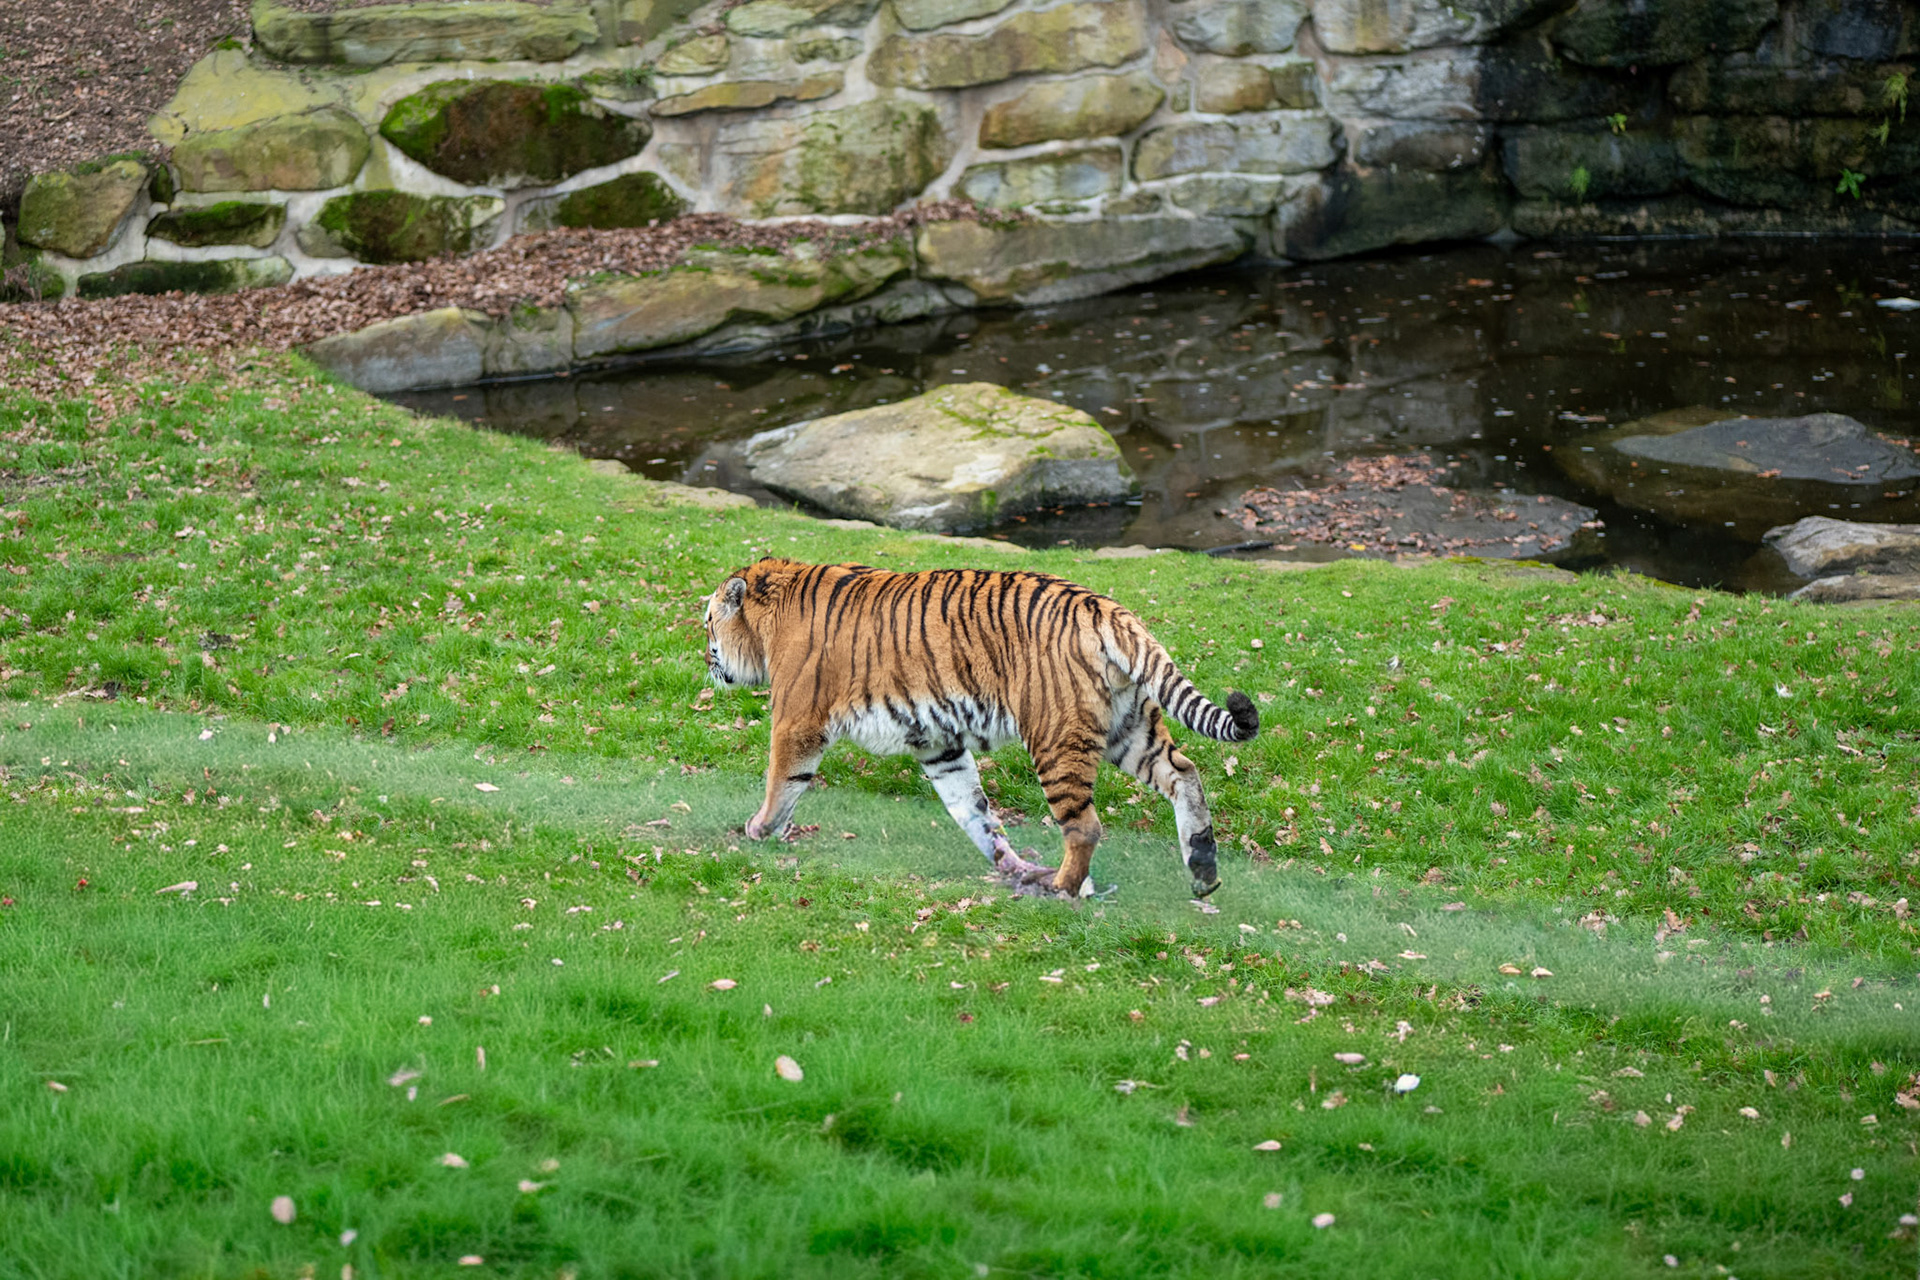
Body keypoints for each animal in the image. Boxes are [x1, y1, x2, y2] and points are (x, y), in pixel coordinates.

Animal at [701, 558, 1260, 900]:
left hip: (1056, 737)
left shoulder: (798, 720)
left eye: (708, 621)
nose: (706, 660)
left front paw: (759, 829)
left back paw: (1061, 889)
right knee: (1184, 773)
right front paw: (1007, 863)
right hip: (1130, 726)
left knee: (1085, 825)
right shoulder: (938, 744)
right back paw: (1203, 869)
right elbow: (973, 811)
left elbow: (782, 780)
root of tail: (1104, 606)